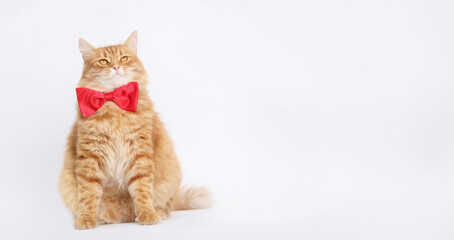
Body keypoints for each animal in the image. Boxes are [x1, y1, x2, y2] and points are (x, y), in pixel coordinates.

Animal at [58, 31, 211, 230]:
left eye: (124, 58)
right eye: (103, 62)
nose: (116, 67)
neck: (114, 104)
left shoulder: (140, 153)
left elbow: (142, 190)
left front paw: (147, 214)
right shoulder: (90, 157)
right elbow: (88, 194)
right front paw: (87, 218)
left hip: (169, 180)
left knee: (166, 205)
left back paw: (157, 212)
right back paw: (105, 217)